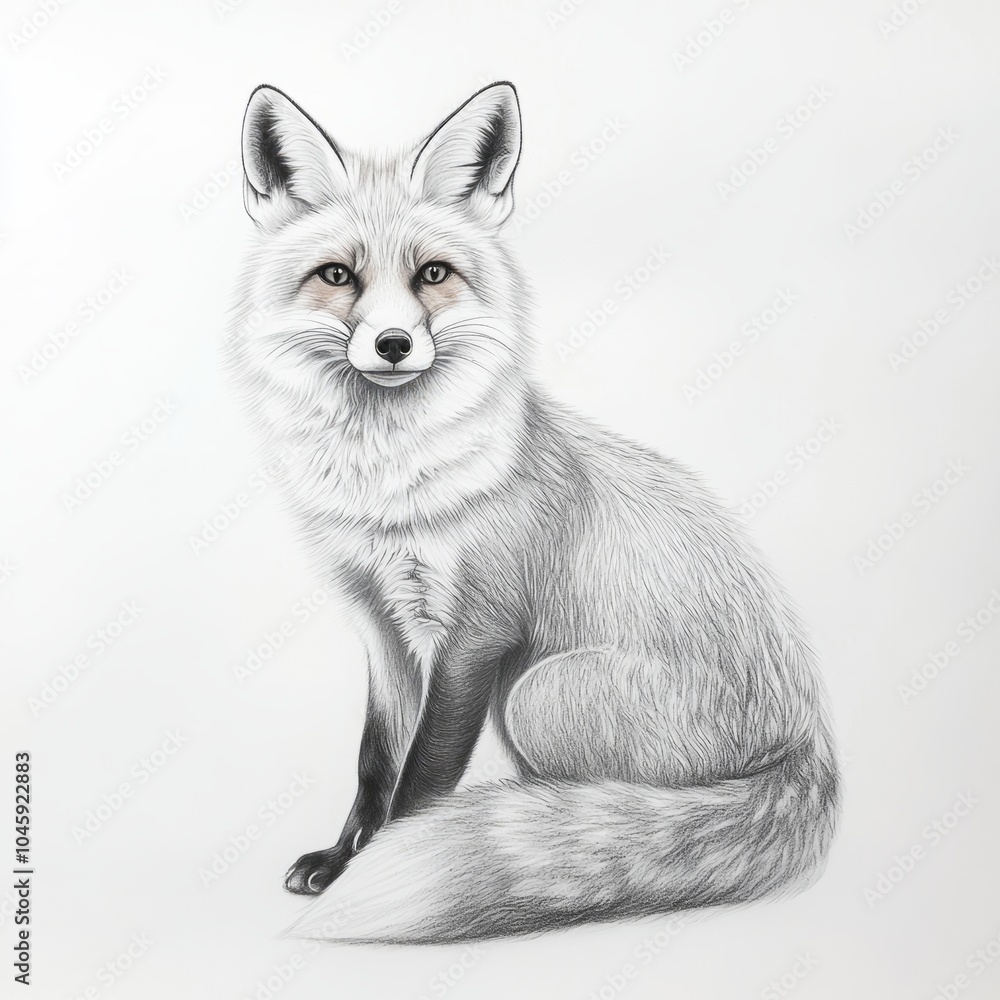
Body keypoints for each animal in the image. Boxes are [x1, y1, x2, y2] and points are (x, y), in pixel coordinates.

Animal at [226, 80, 839, 945]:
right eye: (338, 274)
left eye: (434, 273)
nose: (392, 343)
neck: (390, 494)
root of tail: (810, 748)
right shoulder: (380, 624)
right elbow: (376, 759)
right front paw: (343, 856)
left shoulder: (478, 630)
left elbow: (422, 774)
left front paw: (380, 863)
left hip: (538, 693)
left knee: (621, 804)